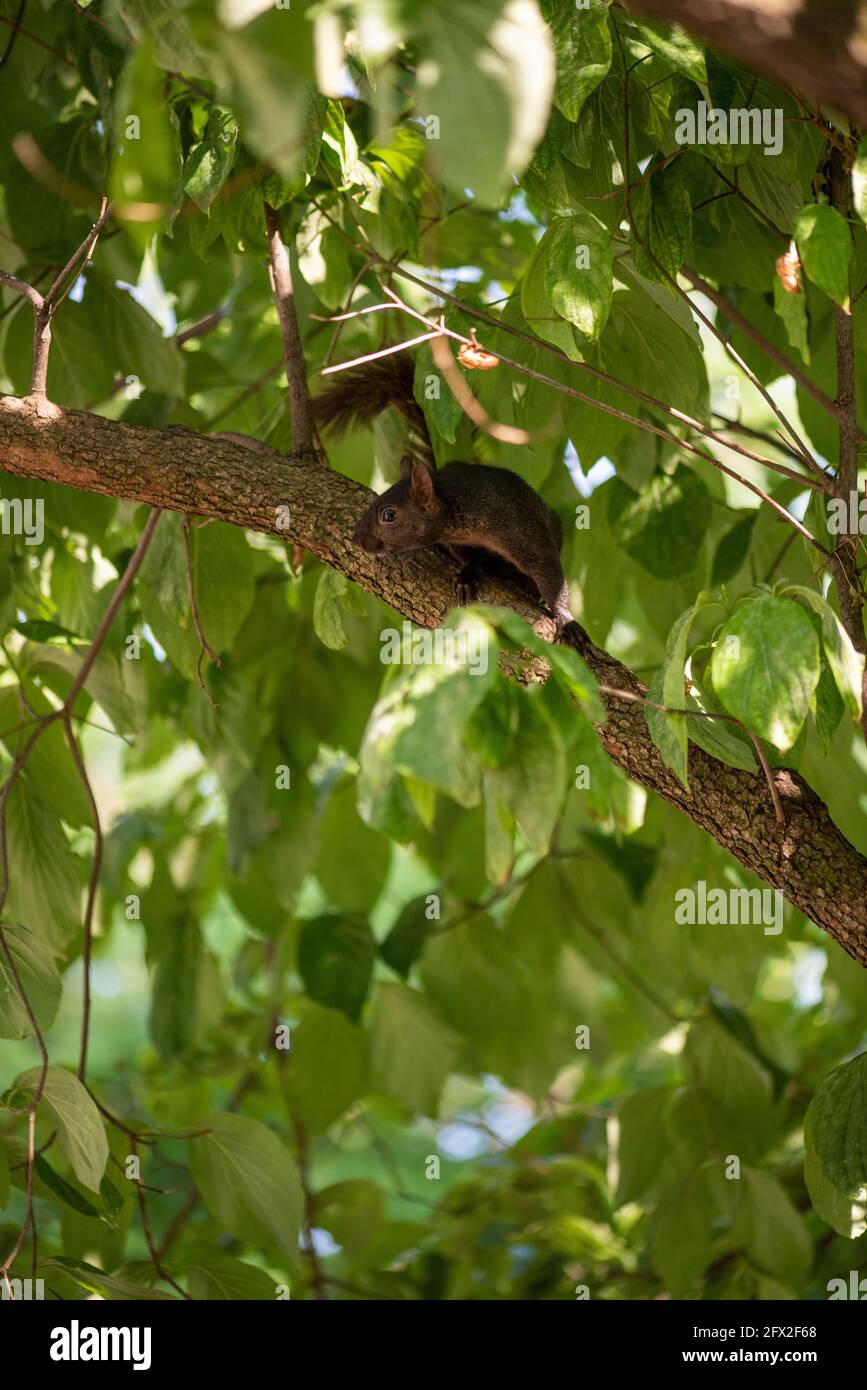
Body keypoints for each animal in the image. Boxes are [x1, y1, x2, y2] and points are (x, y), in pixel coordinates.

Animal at [314, 352, 584, 651]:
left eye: (389, 515)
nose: (357, 540)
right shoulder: (458, 540)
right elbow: (467, 557)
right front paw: (468, 574)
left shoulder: (519, 528)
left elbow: (548, 571)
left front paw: (566, 619)